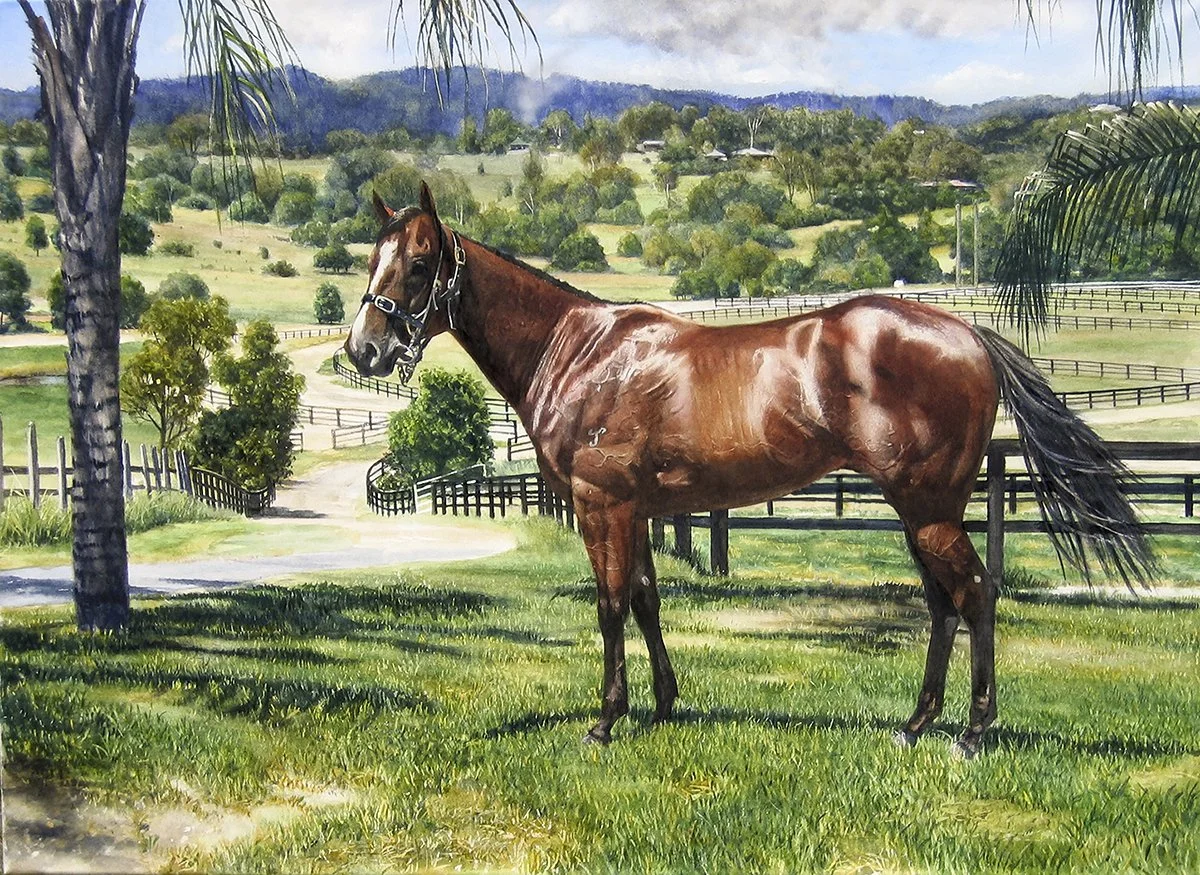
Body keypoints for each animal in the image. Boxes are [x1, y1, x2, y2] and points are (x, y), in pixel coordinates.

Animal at [344, 183, 1152, 758]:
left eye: (418, 265)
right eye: (371, 262)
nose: (363, 349)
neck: (584, 353)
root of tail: (971, 334)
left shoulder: (601, 504)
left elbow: (609, 605)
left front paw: (606, 720)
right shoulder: (638, 509)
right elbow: (647, 599)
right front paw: (664, 704)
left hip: (928, 508)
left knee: (976, 595)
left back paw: (972, 732)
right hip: (921, 510)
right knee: (944, 603)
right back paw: (916, 724)